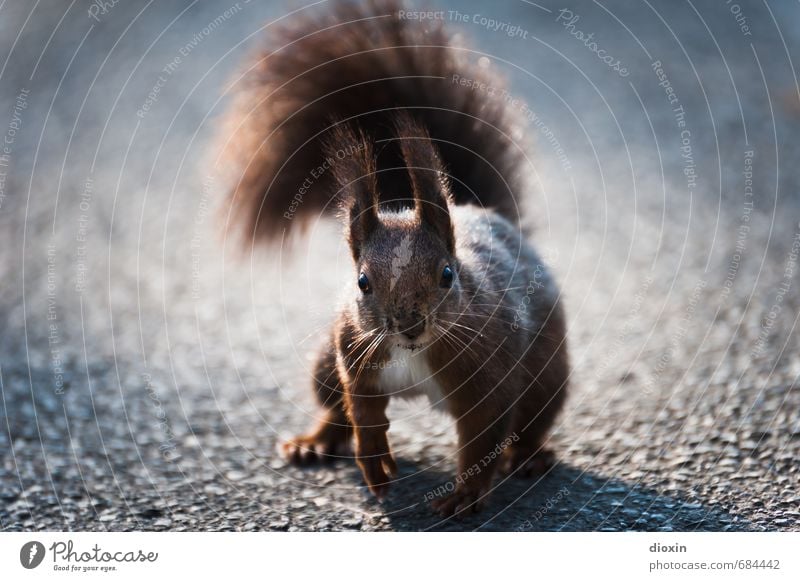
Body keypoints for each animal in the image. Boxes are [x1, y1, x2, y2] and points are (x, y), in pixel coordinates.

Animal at [219, 0, 568, 516]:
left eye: (447, 275)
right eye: (362, 282)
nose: (408, 324)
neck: (412, 353)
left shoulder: (488, 373)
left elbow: (482, 436)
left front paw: (465, 495)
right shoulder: (354, 351)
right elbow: (362, 410)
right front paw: (375, 462)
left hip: (547, 375)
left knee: (531, 420)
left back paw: (529, 455)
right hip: (324, 362)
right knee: (334, 406)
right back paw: (314, 441)